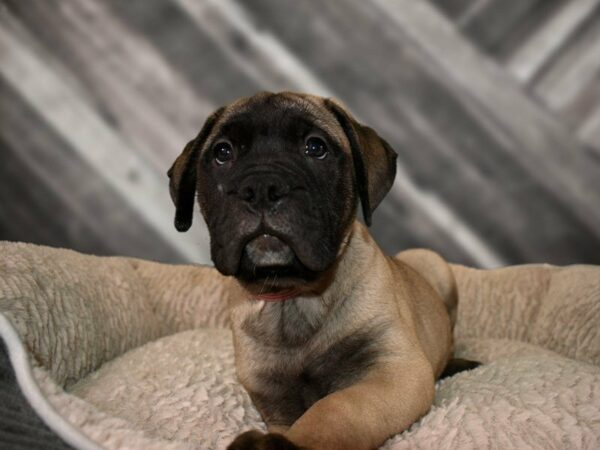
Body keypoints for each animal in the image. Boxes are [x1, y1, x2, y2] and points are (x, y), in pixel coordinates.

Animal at [166, 92, 476, 450]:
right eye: (222, 152)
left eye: (315, 147)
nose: (261, 186)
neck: (293, 298)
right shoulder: (275, 401)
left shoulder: (394, 369)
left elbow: (336, 408)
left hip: (432, 263)